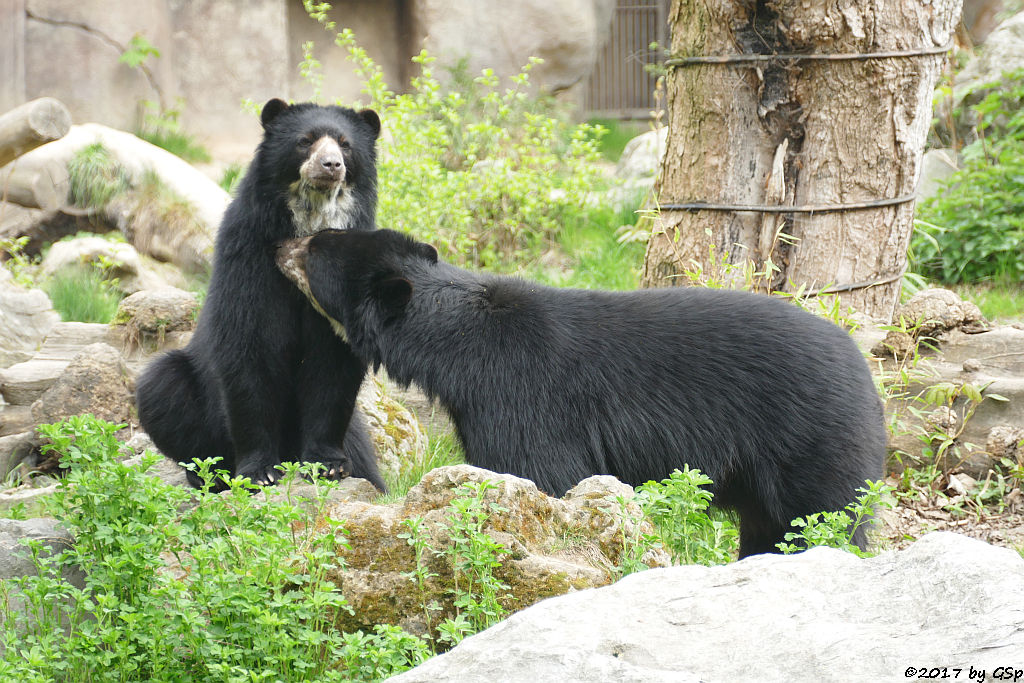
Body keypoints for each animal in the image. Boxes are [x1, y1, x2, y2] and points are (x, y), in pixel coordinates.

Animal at [136, 97, 387, 491]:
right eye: (305, 141)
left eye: (345, 145)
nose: (331, 165)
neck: (307, 223)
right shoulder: (248, 258)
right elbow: (249, 350)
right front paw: (260, 472)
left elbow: (333, 364)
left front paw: (328, 465)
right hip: (186, 392)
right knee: (162, 391)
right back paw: (211, 474)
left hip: (356, 430)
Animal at [278, 227, 888, 557]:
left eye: (317, 249)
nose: (285, 244)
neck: (457, 344)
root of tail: (865, 370)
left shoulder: (519, 397)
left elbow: (542, 475)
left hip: (811, 438)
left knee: (825, 516)